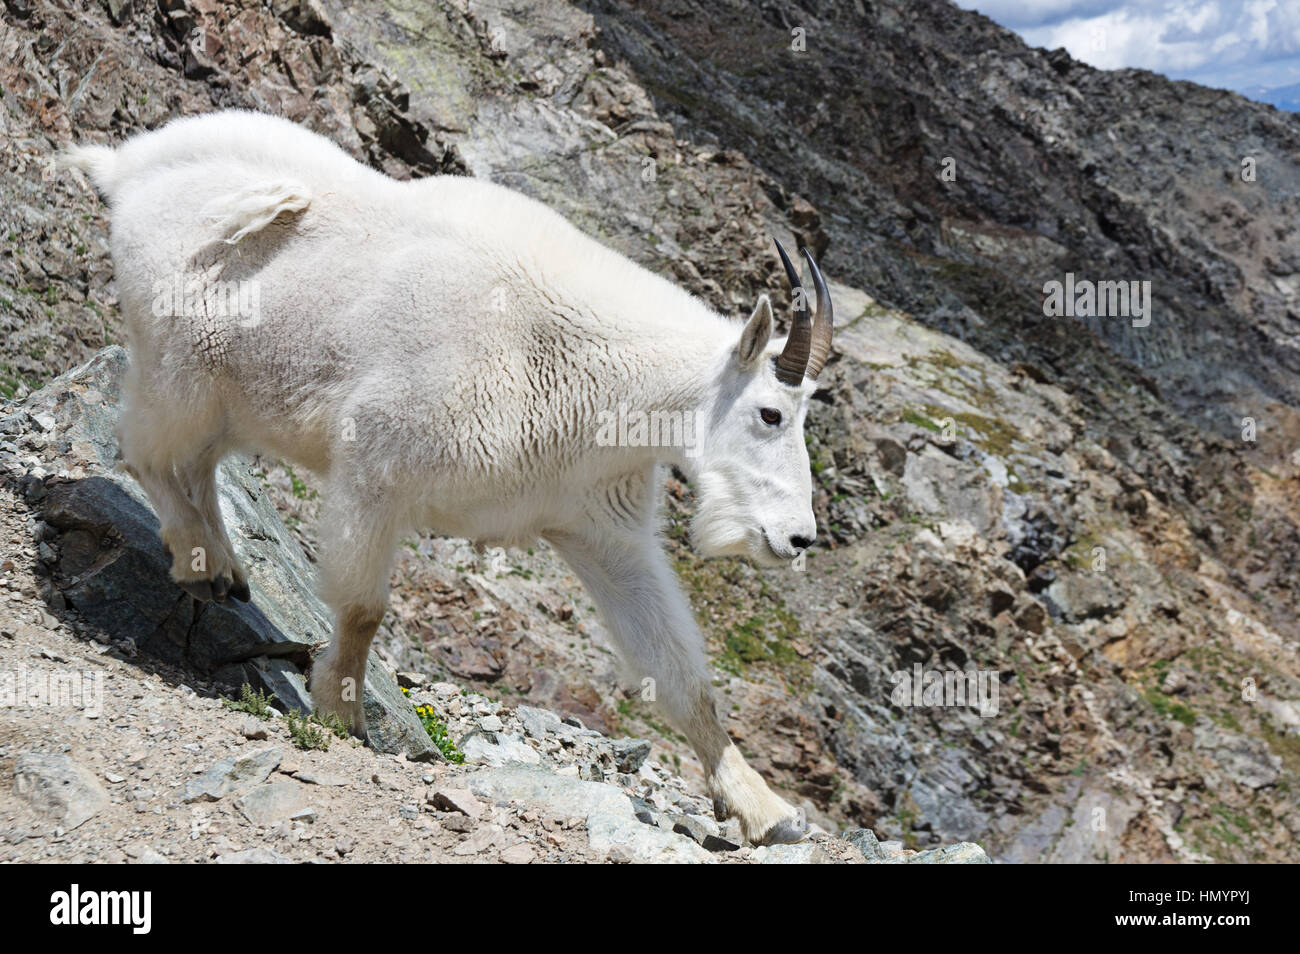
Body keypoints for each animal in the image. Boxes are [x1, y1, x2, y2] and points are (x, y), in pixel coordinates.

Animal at [63, 110, 834, 845]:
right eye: (770, 412)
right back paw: (199, 563)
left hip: (231, 396)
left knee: (195, 462)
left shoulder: (599, 527)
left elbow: (680, 675)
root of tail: (127, 166)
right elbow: (363, 608)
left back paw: (223, 568)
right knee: (145, 450)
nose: (798, 538)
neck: (585, 366)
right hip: (180, 364)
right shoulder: (376, 470)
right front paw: (341, 715)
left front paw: (765, 810)